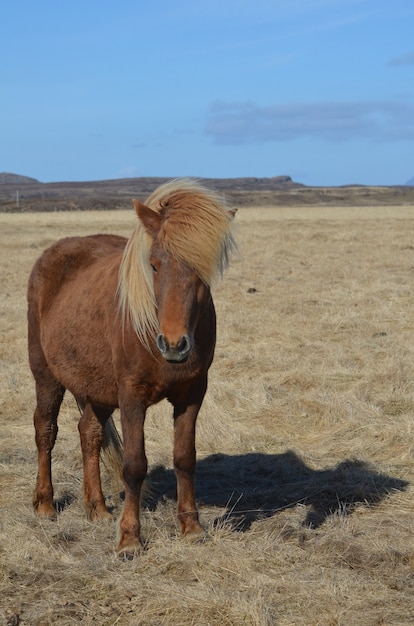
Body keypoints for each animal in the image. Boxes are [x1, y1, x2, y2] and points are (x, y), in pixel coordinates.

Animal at [27, 178, 236, 552]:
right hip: (47, 376)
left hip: (98, 388)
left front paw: (191, 527)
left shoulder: (192, 394)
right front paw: (129, 538)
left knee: (89, 433)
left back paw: (97, 508)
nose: (174, 344)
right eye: (154, 264)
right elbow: (134, 465)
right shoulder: (131, 396)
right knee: (45, 430)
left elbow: (185, 458)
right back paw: (46, 504)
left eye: (202, 269)